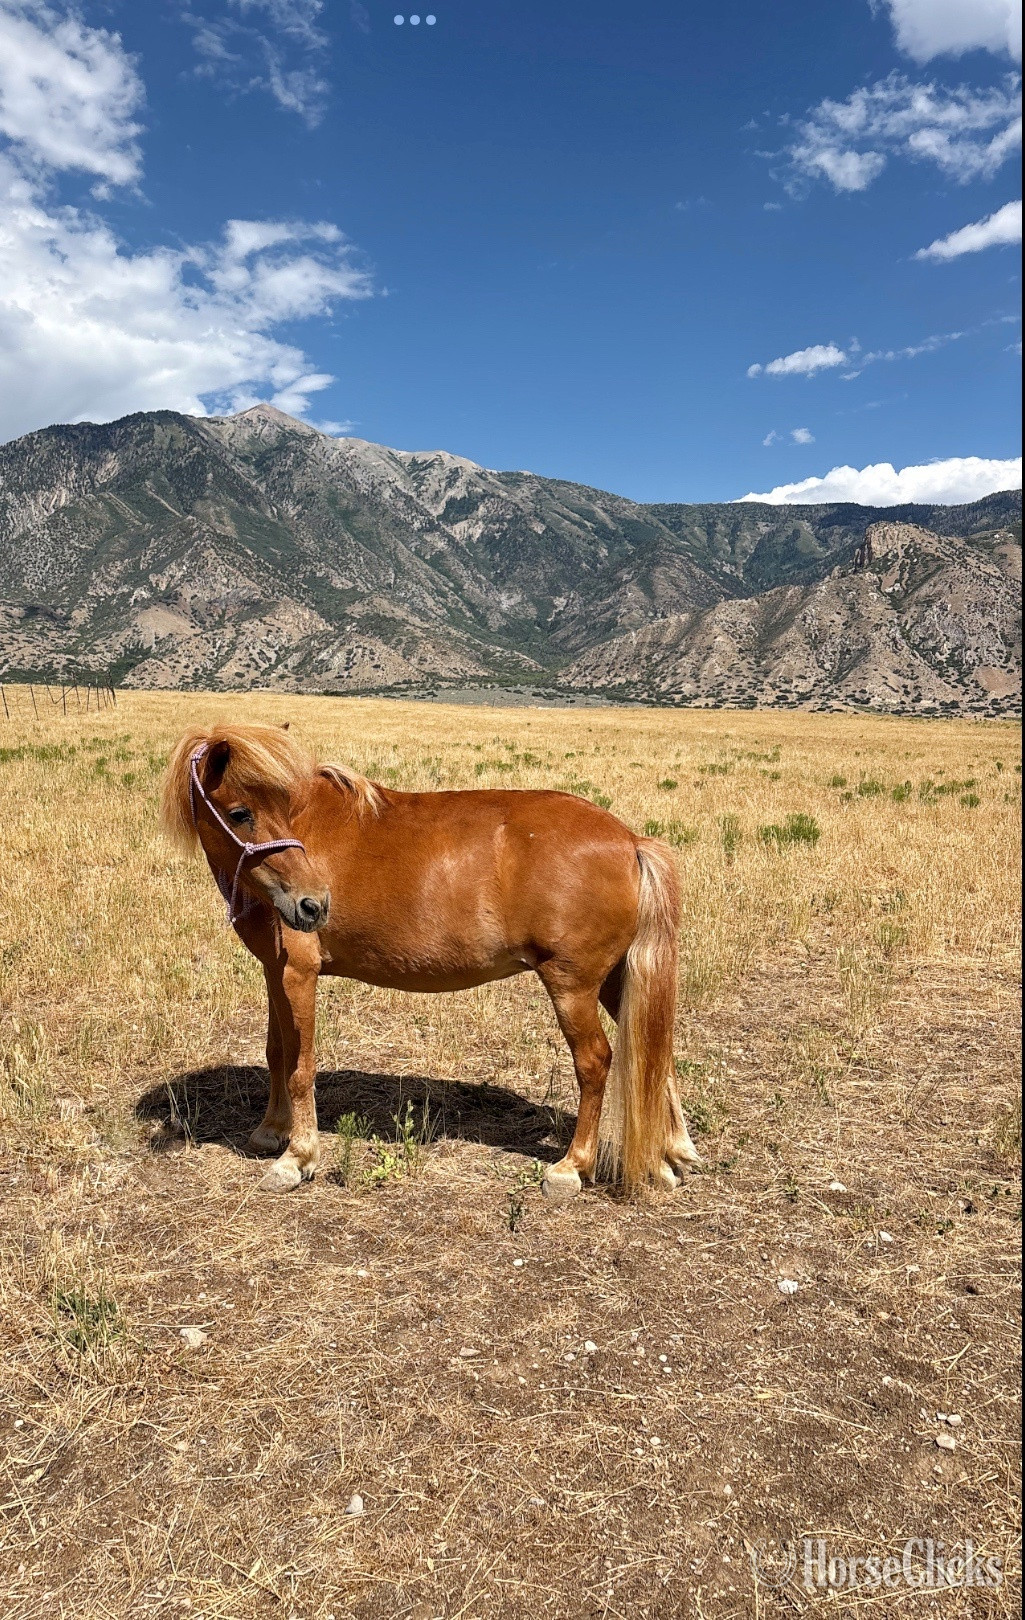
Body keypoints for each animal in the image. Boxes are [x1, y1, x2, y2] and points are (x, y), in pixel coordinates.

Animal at [159, 722, 700, 1199]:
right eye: (241, 813)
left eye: (275, 809)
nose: (313, 904)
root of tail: (630, 840)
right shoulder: (275, 972)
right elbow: (277, 1052)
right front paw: (271, 1131)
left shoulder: (299, 974)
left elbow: (301, 1064)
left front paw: (297, 1157)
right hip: (614, 980)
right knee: (655, 1051)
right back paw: (672, 1153)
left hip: (573, 986)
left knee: (595, 1061)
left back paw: (571, 1167)